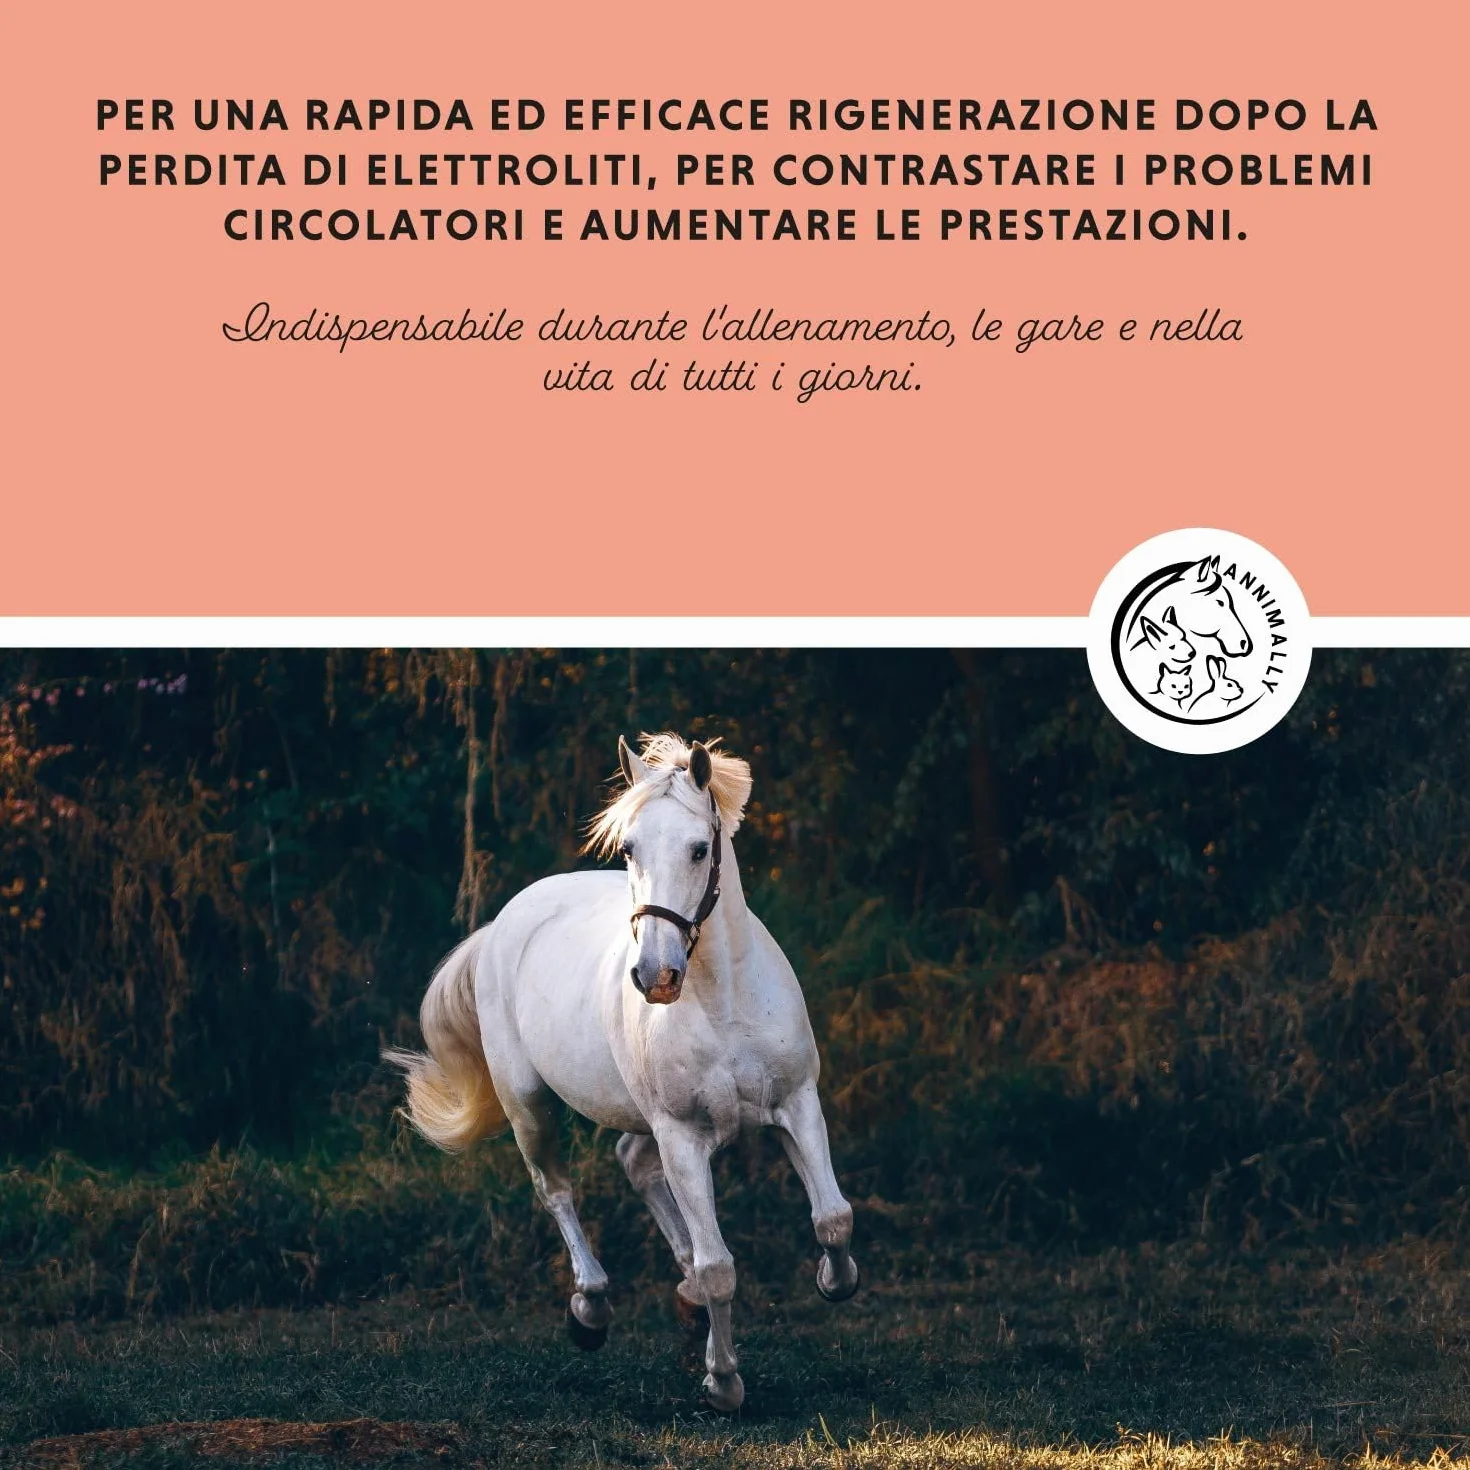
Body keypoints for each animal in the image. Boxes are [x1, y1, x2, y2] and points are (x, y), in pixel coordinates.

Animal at [385, 733, 859, 1412]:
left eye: (699, 848)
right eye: (630, 847)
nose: (654, 976)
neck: (724, 1002)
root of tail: (505, 923)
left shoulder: (797, 1104)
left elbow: (832, 1219)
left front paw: (829, 1279)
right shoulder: (683, 1136)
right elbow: (720, 1267)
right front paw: (723, 1382)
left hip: (640, 1117)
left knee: (633, 1163)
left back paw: (682, 1299)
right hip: (529, 1104)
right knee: (556, 1189)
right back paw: (590, 1309)